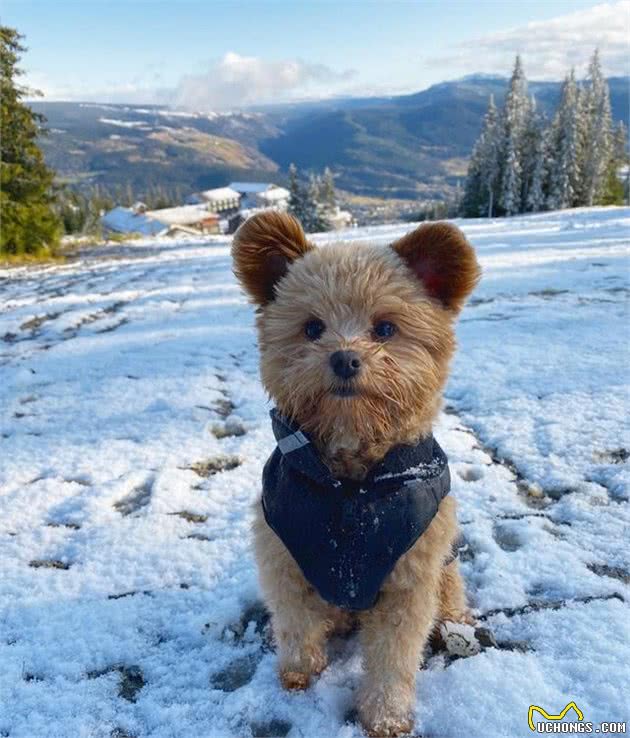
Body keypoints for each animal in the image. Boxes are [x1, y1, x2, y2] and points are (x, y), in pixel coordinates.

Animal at [235, 210, 482, 732]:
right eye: (312, 328)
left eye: (385, 328)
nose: (345, 357)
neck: (351, 487)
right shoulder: (282, 557)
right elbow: (295, 624)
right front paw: (297, 674)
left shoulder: (410, 579)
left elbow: (393, 657)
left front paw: (386, 716)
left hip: (445, 570)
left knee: (451, 598)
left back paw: (457, 626)